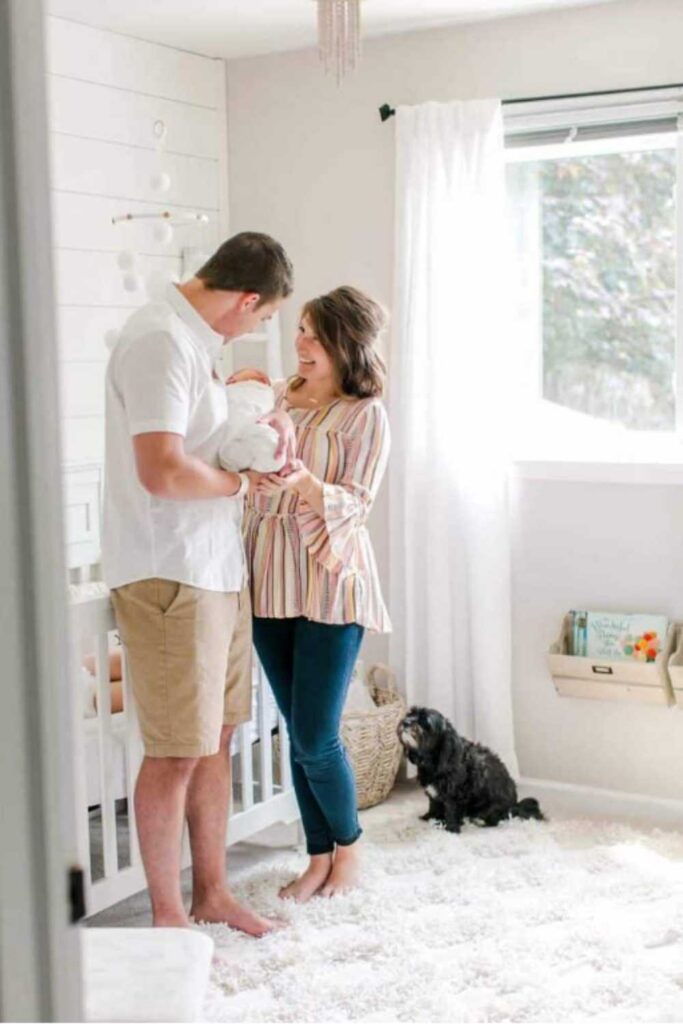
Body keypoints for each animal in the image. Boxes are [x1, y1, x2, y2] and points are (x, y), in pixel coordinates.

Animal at [397, 708, 540, 835]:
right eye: (410, 713)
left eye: (425, 721)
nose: (405, 722)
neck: (435, 759)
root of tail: (514, 806)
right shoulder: (433, 793)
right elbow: (433, 805)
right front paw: (429, 818)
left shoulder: (455, 794)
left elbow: (451, 810)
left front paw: (451, 828)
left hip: (491, 807)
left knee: (495, 820)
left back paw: (479, 821)